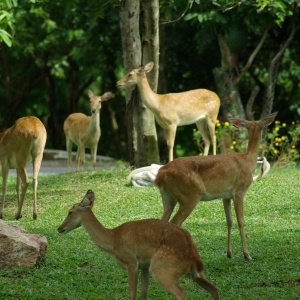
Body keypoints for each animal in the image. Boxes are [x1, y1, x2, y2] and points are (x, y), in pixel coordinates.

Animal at [57, 190, 219, 300]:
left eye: (70, 212)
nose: (59, 228)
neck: (112, 240)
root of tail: (192, 249)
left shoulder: (131, 261)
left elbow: (132, 294)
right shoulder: (144, 266)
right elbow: (144, 293)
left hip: (162, 267)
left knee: (181, 293)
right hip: (194, 271)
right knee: (214, 288)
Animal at [155, 112, 278, 260]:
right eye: (264, 126)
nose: (265, 135)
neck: (248, 161)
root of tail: (162, 173)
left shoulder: (226, 196)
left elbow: (229, 220)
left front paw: (229, 253)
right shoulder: (239, 191)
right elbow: (241, 221)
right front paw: (247, 255)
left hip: (168, 197)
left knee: (163, 221)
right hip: (190, 195)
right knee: (175, 222)